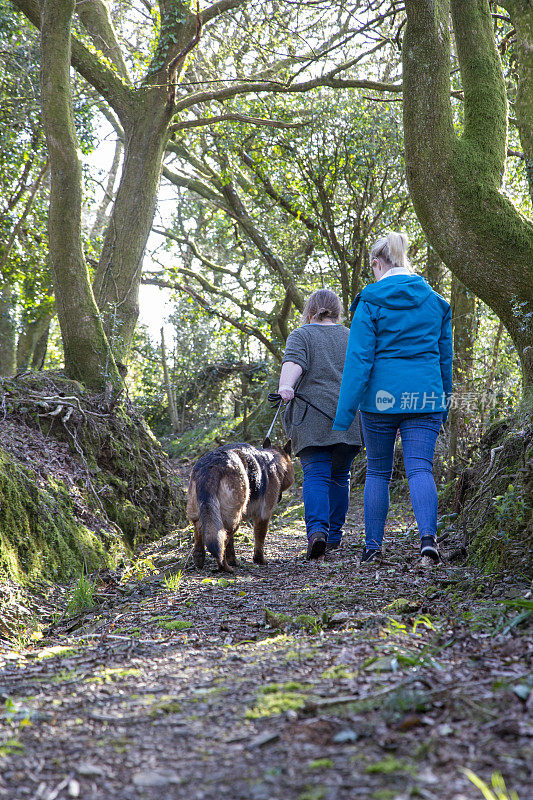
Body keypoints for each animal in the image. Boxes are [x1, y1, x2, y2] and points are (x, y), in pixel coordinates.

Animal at [186, 438, 296, 576]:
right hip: (233, 518)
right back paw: (224, 567)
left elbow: (231, 545)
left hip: (202, 515)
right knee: (223, 540)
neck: (273, 459)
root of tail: (211, 467)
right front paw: (259, 559)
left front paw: (233, 560)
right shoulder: (263, 516)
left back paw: (201, 560)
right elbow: (260, 538)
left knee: (200, 533)